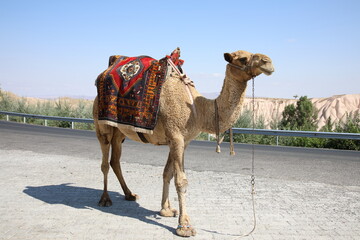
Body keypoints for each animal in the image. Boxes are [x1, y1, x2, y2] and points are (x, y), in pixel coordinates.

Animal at [92, 49, 272, 237]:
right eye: (243, 58)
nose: (268, 62)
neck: (198, 109)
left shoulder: (181, 141)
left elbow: (167, 173)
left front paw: (166, 210)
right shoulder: (176, 136)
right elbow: (181, 181)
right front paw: (184, 226)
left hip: (120, 133)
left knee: (115, 160)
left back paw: (130, 194)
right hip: (101, 124)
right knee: (105, 162)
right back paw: (105, 199)